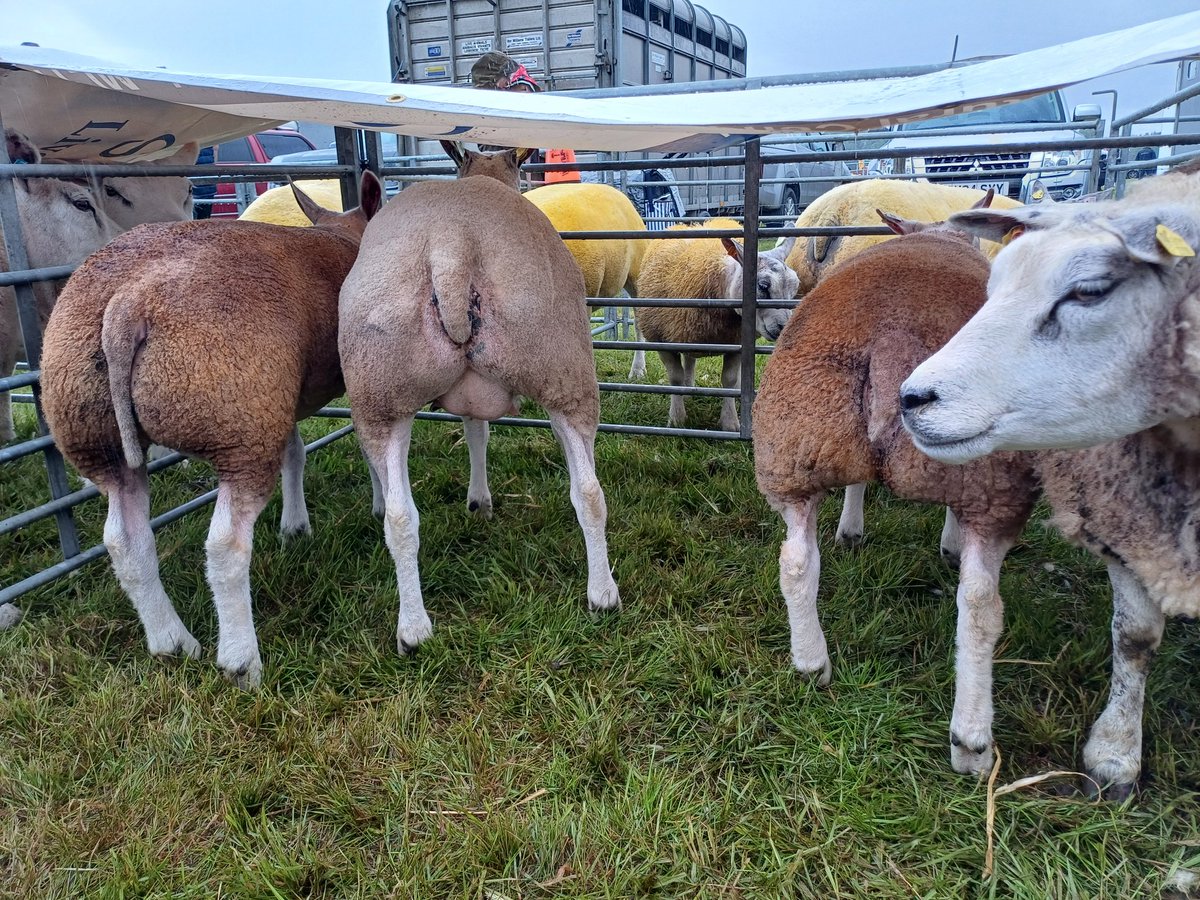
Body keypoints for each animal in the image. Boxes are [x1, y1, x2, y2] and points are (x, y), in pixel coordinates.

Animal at [37, 172, 384, 689]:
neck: (346, 235)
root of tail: (127, 303)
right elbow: (360, 446)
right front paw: (375, 504)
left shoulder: (280, 397)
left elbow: (295, 452)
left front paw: (295, 526)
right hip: (236, 420)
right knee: (224, 546)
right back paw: (241, 660)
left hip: (98, 425)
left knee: (125, 541)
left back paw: (172, 643)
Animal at [338, 141, 619, 655]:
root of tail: (451, 243)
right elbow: (482, 435)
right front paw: (482, 502)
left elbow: (476, 434)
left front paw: (478, 501)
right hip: (566, 369)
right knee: (590, 491)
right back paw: (604, 593)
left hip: (379, 391)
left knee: (400, 518)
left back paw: (413, 628)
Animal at [630, 218, 798, 432]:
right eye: (763, 286)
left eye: (795, 288)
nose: (784, 327)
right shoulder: (661, 340)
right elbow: (675, 378)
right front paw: (677, 418)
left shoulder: (735, 341)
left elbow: (729, 379)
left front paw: (730, 423)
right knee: (689, 360)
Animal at [753, 212, 1038, 777]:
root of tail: (893, 336)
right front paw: (948, 544)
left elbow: (858, 483)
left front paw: (852, 530)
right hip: (990, 478)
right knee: (979, 603)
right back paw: (972, 741)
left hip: (794, 449)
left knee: (796, 562)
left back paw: (811, 664)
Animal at [900, 165, 1200, 797]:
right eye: (993, 287)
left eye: (1090, 291)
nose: (911, 398)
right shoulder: (1129, 525)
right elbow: (1136, 636)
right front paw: (1116, 755)